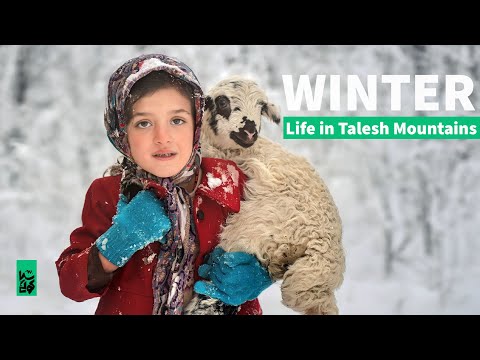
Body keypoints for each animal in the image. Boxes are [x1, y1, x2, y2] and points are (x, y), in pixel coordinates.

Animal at [184, 76, 344, 316]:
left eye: (261, 107)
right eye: (222, 102)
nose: (250, 131)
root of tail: (324, 253)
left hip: (257, 224)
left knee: (220, 285)